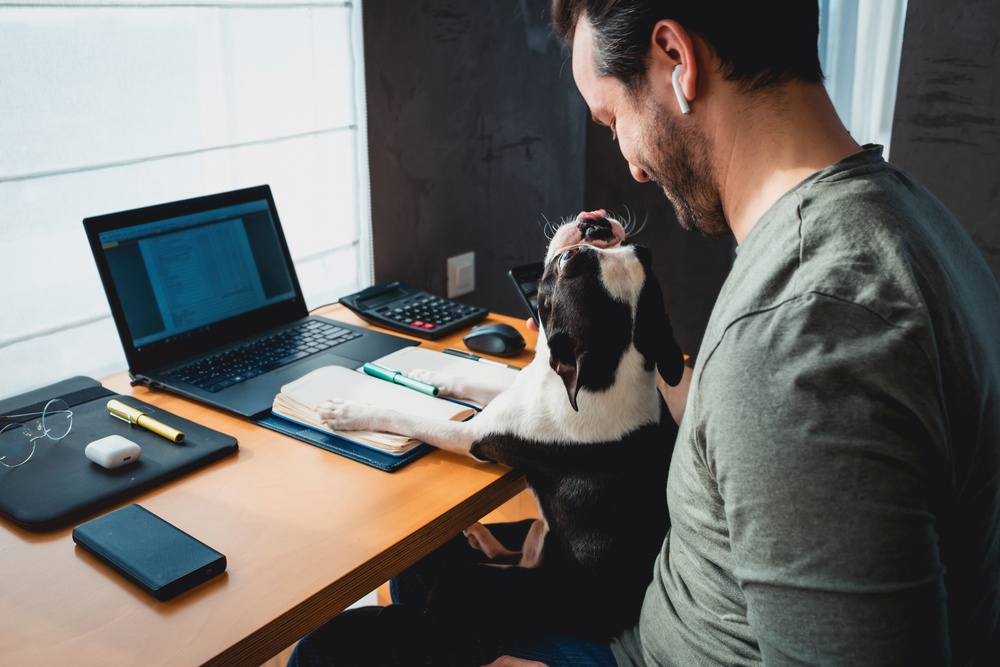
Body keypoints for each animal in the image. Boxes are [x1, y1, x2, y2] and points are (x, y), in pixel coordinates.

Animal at [316, 213, 684, 640]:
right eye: (642, 252)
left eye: (567, 263)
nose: (597, 224)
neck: (607, 372)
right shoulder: (520, 388)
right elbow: (474, 382)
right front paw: (427, 375)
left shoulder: (471, 436)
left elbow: (410, 418)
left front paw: (350, 410)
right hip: (536, 537)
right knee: (516, 551)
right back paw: (481, 535)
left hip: (466, 585)